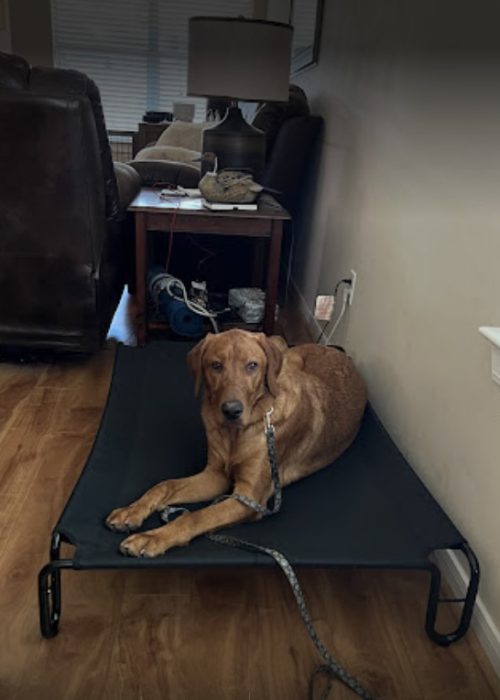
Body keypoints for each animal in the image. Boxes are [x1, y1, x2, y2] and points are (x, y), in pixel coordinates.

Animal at [105, 330, 366, 556]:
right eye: (216, 365)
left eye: (252, 366)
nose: (231, 410)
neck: (237, 433)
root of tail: (339, 352)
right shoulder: (216, 476)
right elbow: (164, 485)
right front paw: (132, 511)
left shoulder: (249, 498)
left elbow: (195, 516)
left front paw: (152, 537)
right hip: (290, 358)